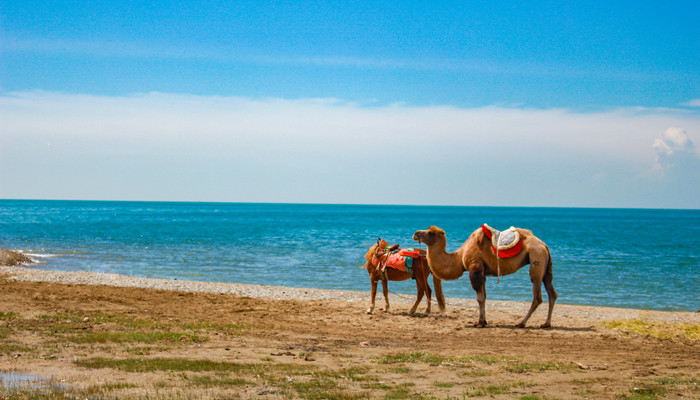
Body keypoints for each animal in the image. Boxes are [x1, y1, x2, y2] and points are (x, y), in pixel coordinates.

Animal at [412, 225, 556, 328]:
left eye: (430, 233)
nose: (416, 233)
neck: (460, 256)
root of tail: (544, 245)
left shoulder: (475, 269)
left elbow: (479, 298)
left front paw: (480, 323)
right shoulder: (483, 273)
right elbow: (485, 297)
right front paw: (484, 321)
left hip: (536, 259)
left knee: (537, 296)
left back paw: (521, 323)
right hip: (545, 266)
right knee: (551, 293)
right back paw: (546, 323)